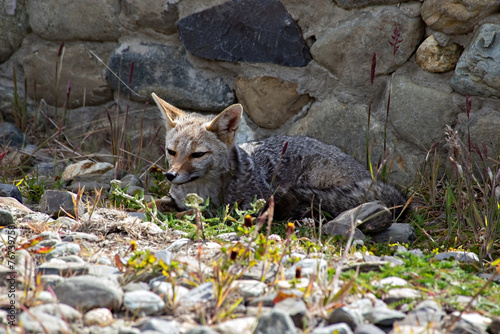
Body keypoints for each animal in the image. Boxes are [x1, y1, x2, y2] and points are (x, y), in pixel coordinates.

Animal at [151, 92, 406, 222]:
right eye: (171, 152)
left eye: (197, 155)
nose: (170, 176)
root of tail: (369, 177)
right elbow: (157, 202)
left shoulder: (240, 204)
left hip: (310, 179)